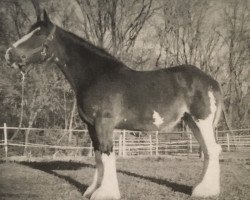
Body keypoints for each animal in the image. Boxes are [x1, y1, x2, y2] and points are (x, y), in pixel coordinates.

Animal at [4, 11, 222, 200]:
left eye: (38, 33)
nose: (8, 54)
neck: (96, 76)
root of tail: (212, 82)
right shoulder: (91, 126)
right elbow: (98, 156)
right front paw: (92, 190)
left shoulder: (104, 123)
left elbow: (107, 155)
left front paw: (105, 193)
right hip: (192, 122)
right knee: (208, 150)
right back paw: (201, 188)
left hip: (201, 121)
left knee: (212, 150)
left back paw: (205, 191)